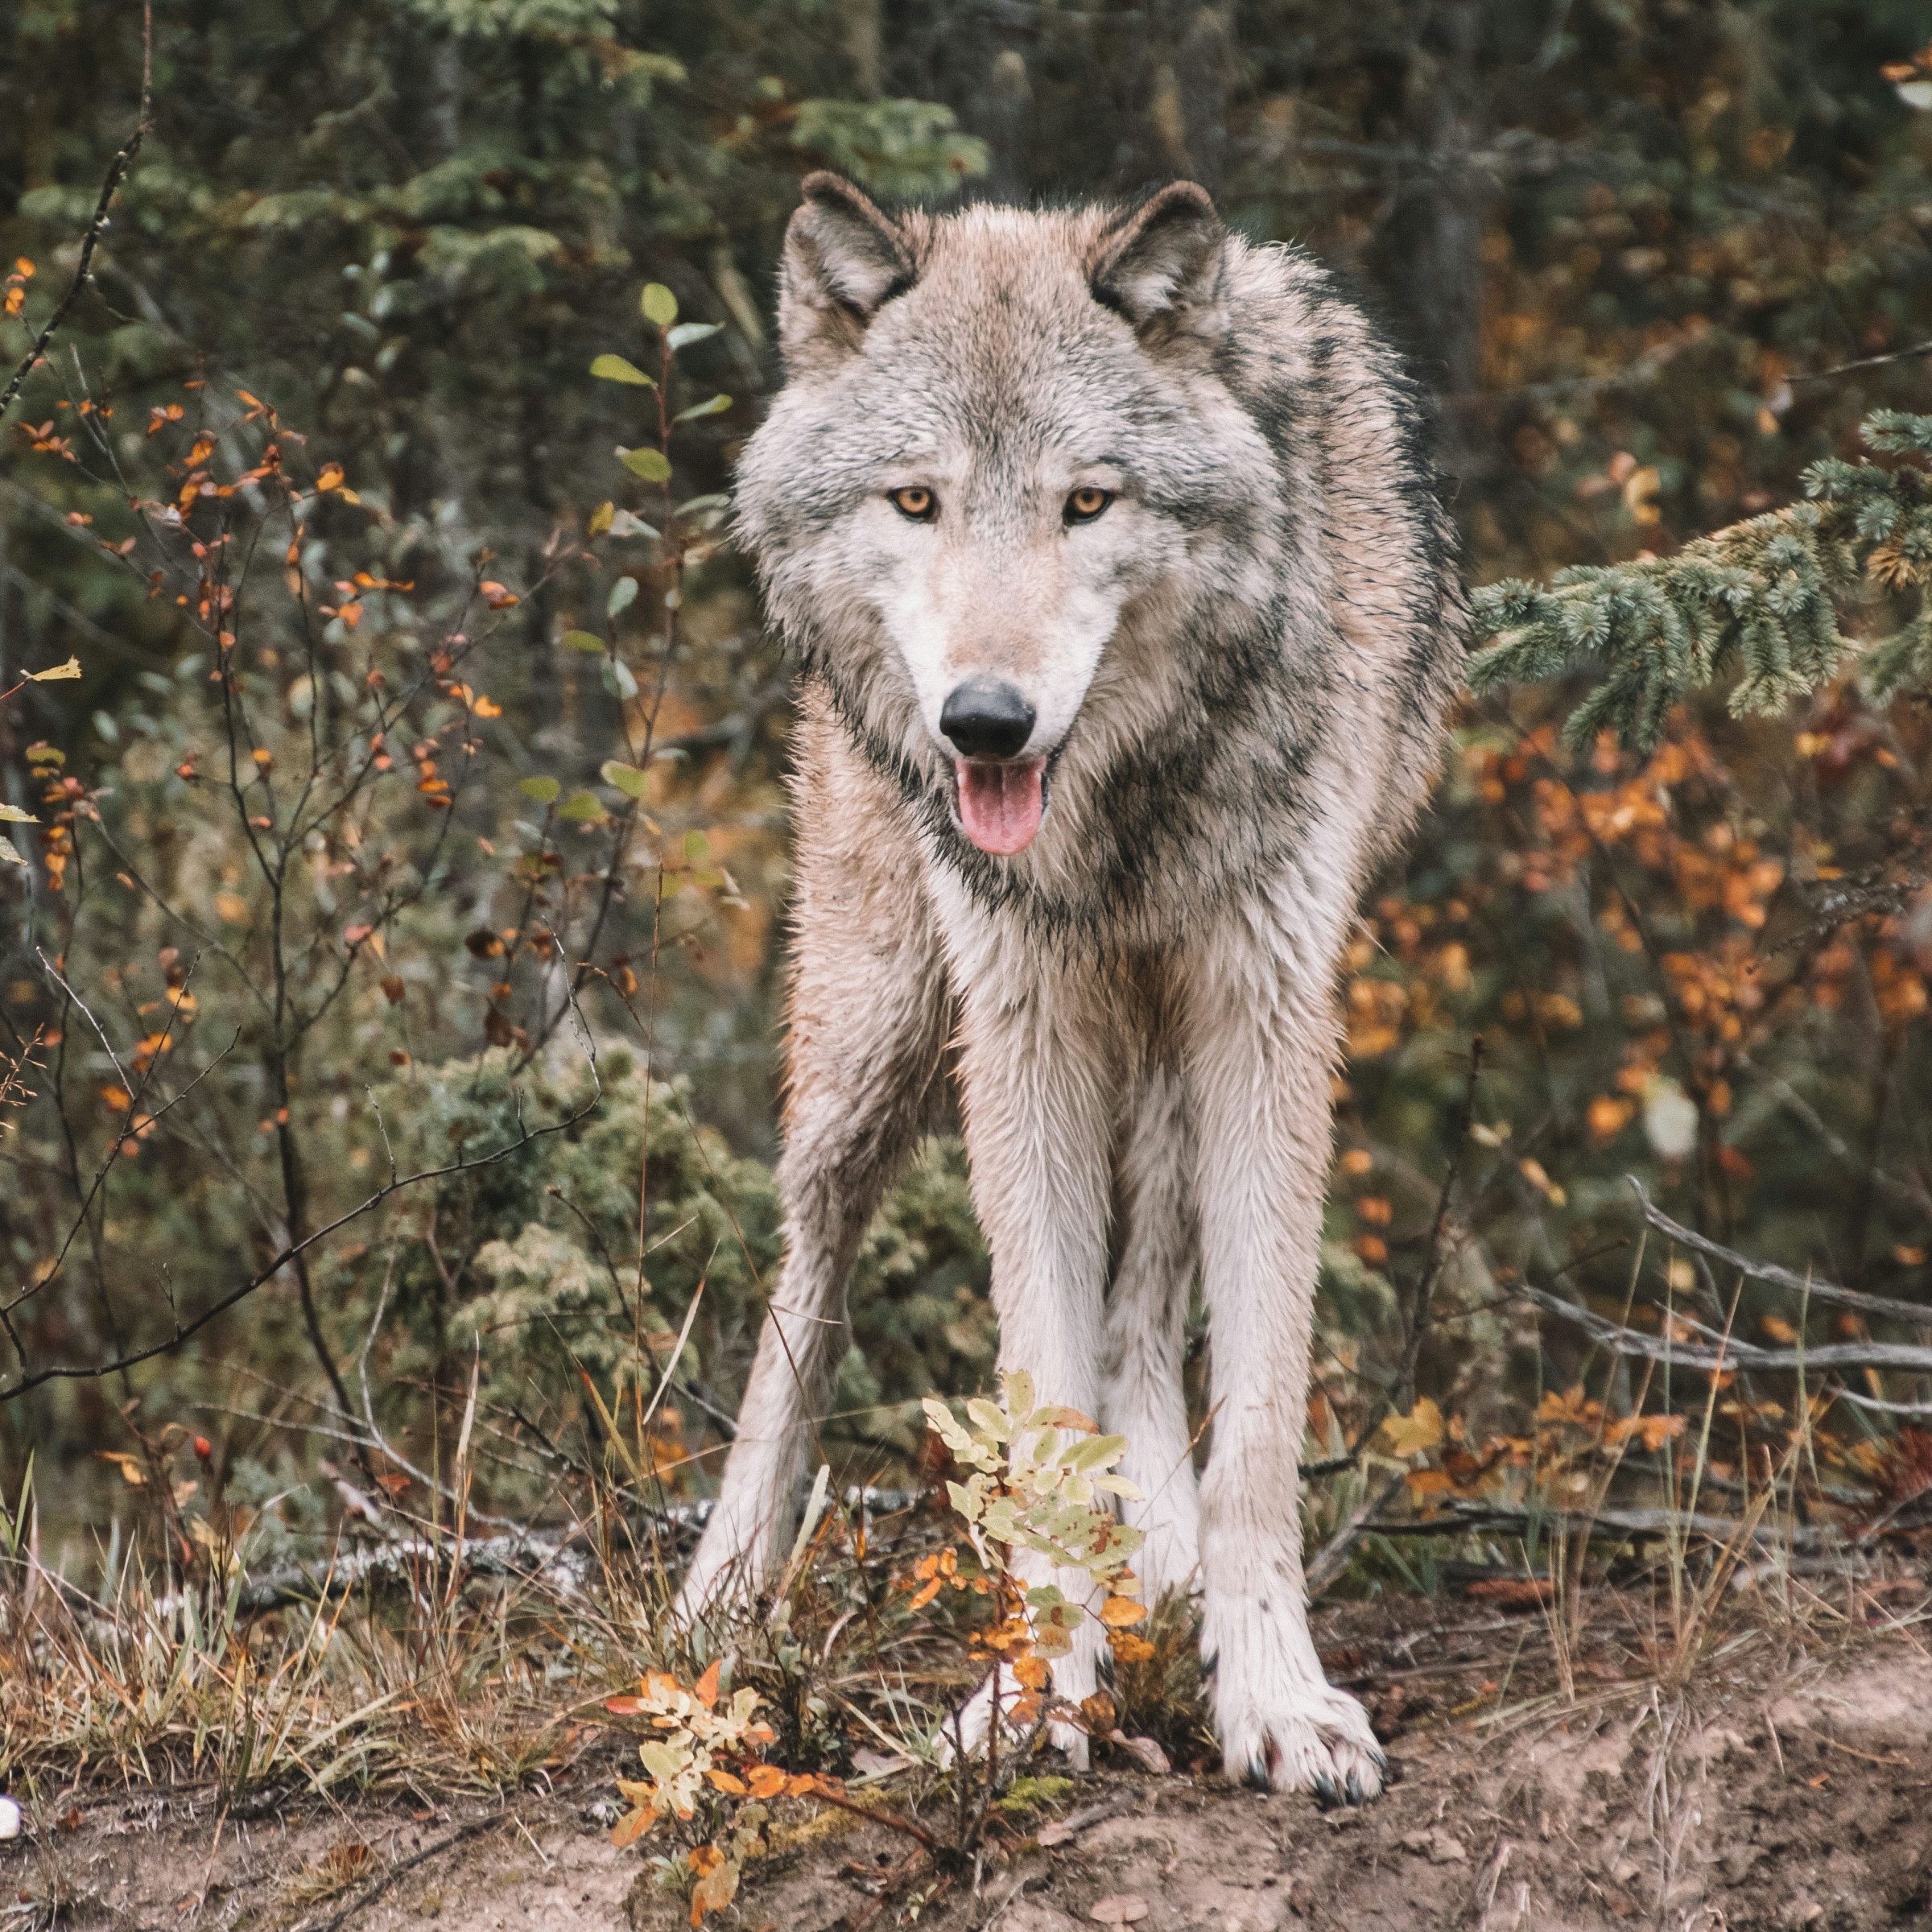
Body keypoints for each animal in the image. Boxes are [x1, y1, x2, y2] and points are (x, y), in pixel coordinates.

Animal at [675, 172, 1463, 1802]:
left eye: (1086, 503)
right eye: (916, 501)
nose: (985, 722)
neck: (1125, 805)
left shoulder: (1267, 1011)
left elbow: (1254, 1416)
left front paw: (1275, 1696)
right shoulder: (1020, 1022)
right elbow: (1038, 1395)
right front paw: (1039, 1699)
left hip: (1156, 1046)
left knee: (1149, 1295)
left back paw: (1157, 1556)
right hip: (877, 1039)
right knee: (807, 1276)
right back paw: (724, 1592)